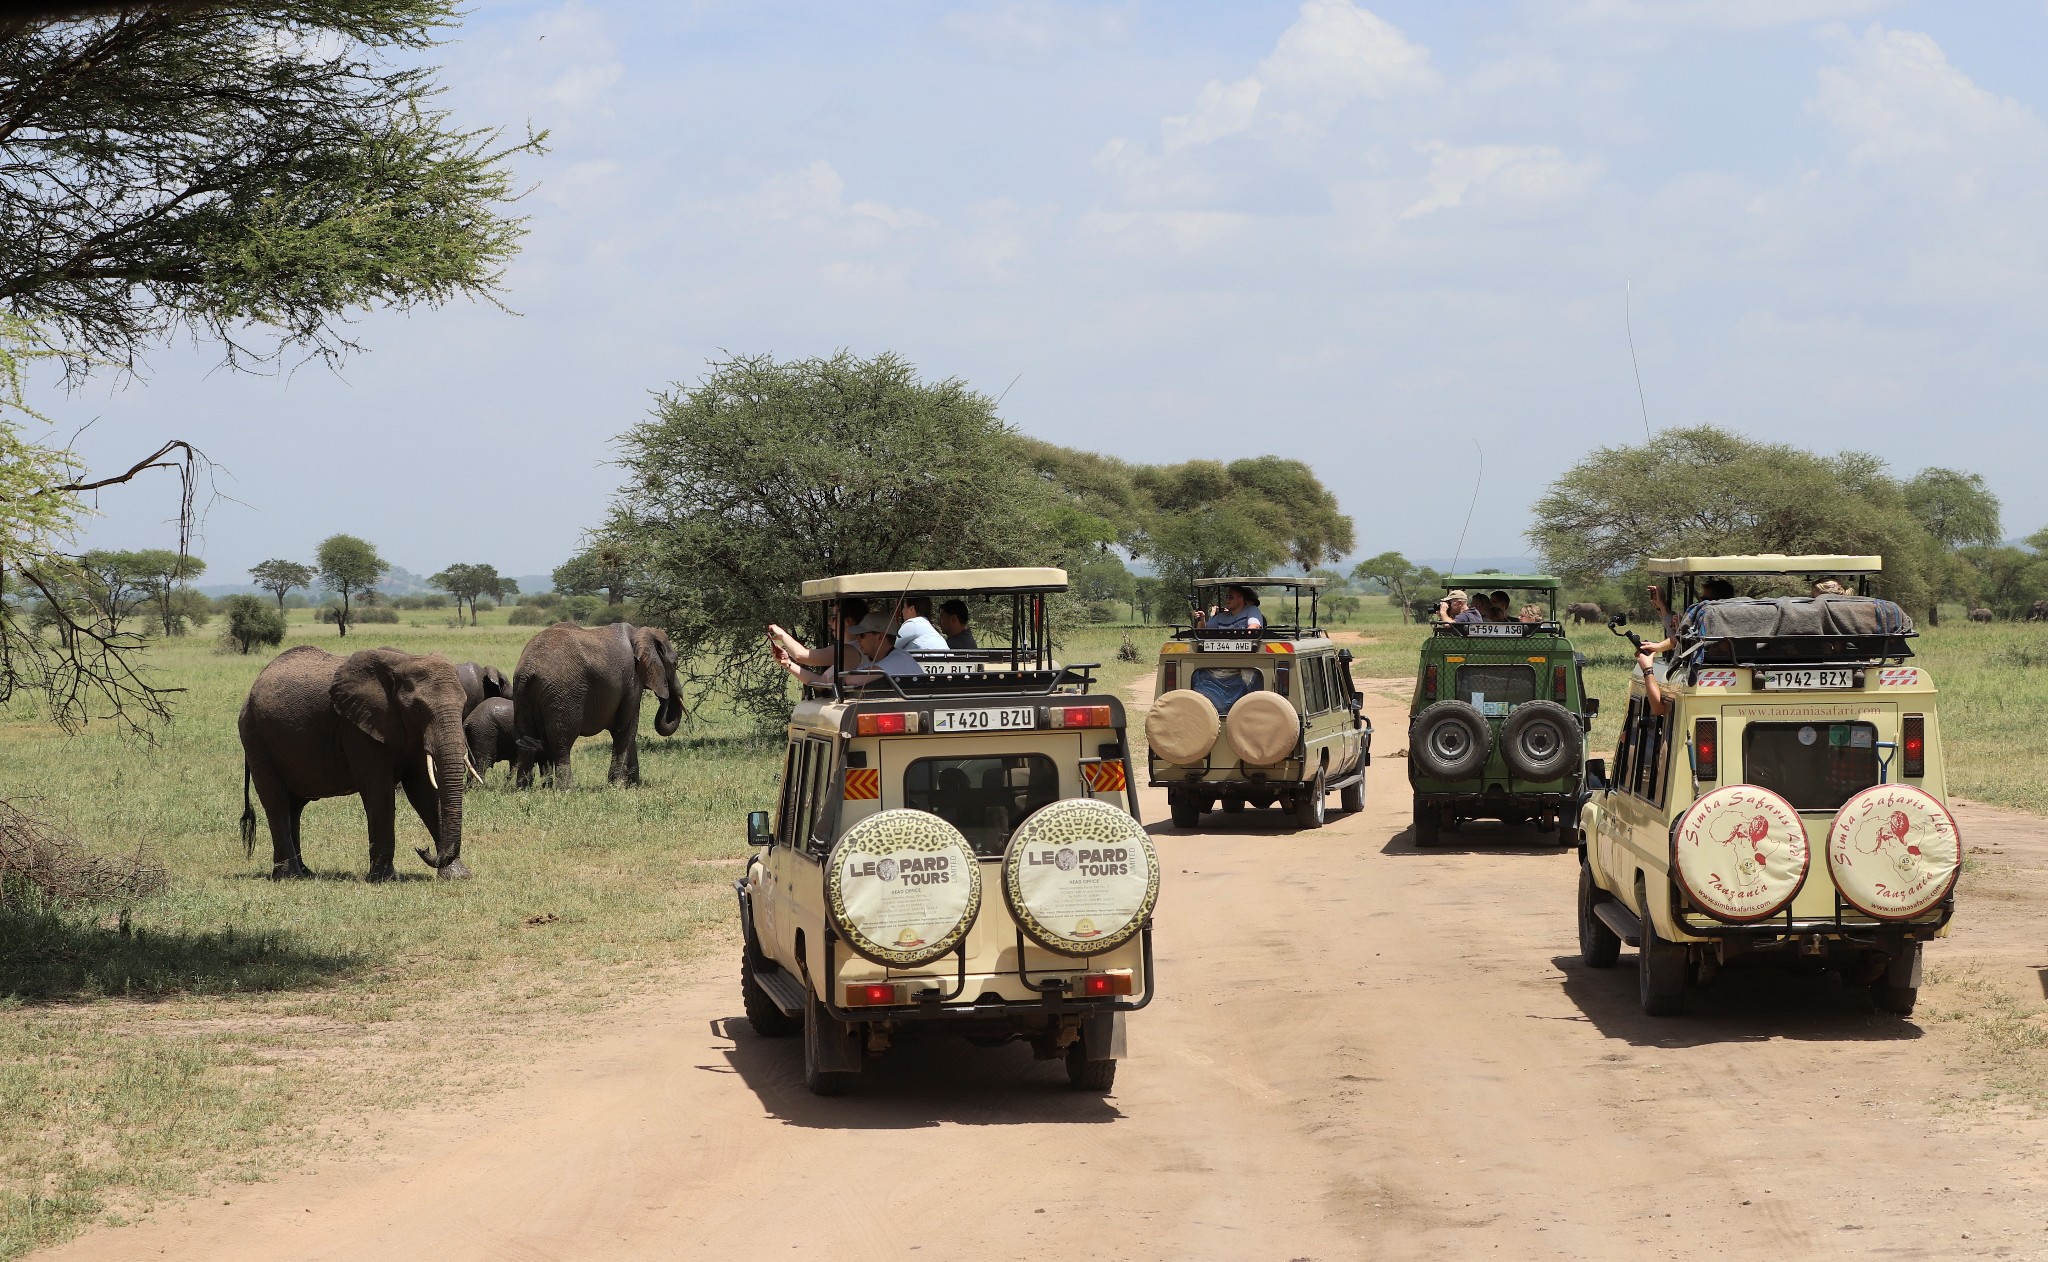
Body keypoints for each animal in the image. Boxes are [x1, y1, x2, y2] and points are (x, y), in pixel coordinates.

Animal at [236, 647, 471, 880]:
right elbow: (379, 791)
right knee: (276, 802)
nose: (423, 850)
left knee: (294, 806)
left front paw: (457, 875)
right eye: (419, 708)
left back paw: (304, 872)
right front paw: (384, 879)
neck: (402, 662)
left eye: (463, 705)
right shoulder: (357, 729)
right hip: (256, 738)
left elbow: (423, 792)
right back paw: (290, 876)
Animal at [512, 622, 679, 786]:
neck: (640, 632)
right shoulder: (632, 681)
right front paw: (617, 786)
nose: (666, 694)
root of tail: (528, 668)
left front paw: (633, 785)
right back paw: (567, 789)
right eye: (675, 663)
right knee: (562, 740)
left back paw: (524, 788)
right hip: (563, 693)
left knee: (526, 740)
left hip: (522, 695)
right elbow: (626, 727)